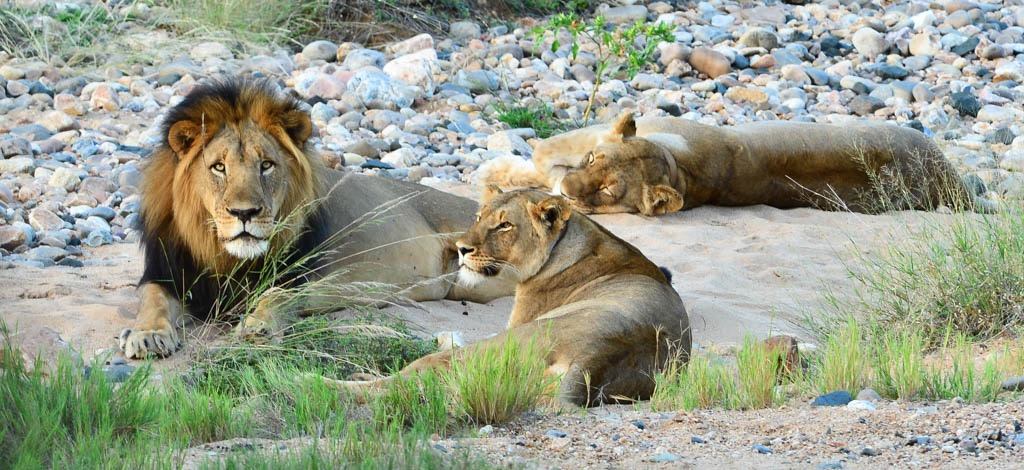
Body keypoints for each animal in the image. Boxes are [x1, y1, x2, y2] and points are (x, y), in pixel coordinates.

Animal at [117, 79, 512, 360]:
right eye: (218, 167)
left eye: (266, 165)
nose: (244, 213)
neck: (227, 257)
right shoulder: (166, 272)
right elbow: (151, 300)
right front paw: (147, 335)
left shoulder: (325, 281)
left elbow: (277, 294)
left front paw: (257, 326)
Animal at [323, 189, 692, 407]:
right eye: (478, 217)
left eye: (504, 226)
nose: (461, 248)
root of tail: (594, 359)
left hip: (495, 347)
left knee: (411, 379)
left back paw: (326, 380)